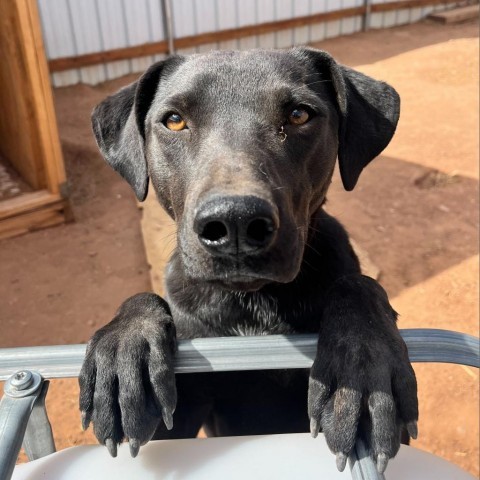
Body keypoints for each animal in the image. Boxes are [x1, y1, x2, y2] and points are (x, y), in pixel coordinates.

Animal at [79, 47, 416, 474]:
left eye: (299, 115)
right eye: (174, 120)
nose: (235, 221)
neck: (253, 305)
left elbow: (358, 285)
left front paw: (362, 362)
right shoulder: (180, 415)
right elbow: (144, 298)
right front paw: (124, 350)